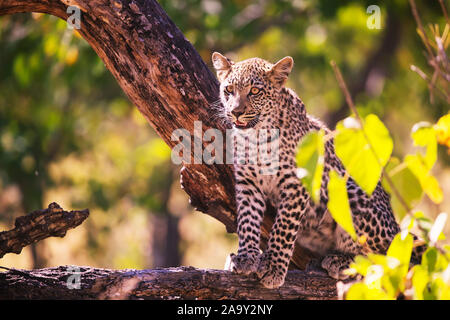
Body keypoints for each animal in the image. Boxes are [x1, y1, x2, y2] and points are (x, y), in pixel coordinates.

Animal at [211, 51, 426, 288]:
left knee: (391, 257)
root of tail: (396, 227)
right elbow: (247, 222)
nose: (236, 112)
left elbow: (283, 229)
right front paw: (246, 257)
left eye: (255, 91)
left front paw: (273, 268)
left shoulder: (297, 184)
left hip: (351, 191)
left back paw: (342, 262)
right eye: (229, 90)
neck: (255, 136)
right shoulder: (248, 184)